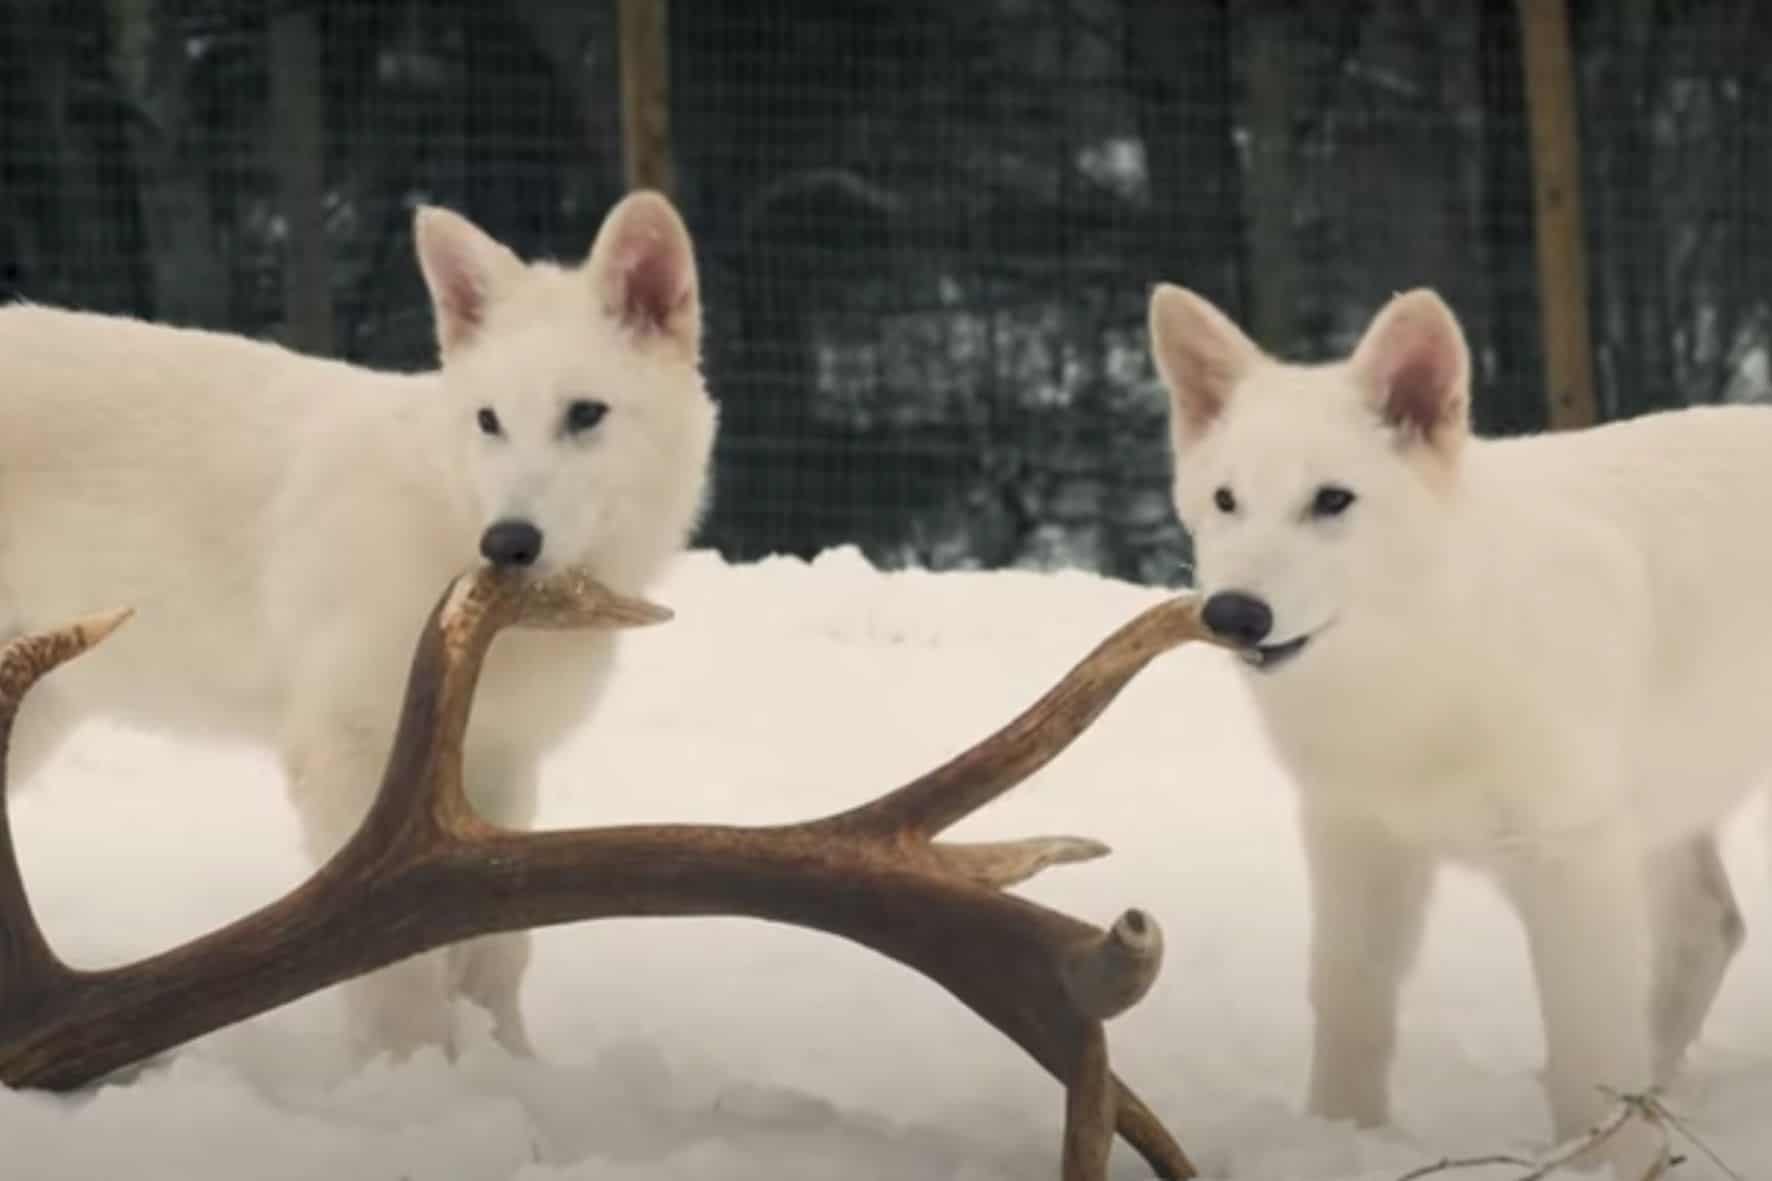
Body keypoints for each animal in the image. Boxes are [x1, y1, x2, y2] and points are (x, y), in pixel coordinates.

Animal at [0, 190, 718, 1062]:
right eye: (488, 420)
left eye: (586, 414)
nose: (508, 541)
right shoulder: (349, 756)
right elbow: (396, 972)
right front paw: (412, 1079)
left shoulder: (500, 766)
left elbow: (496, 953)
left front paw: (510, 1067)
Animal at [1148, 282, 1772, 1171]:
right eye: (1226, 501)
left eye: (1332, 499)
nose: (1234, 614)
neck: (1423, 674)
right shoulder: (1355, 837)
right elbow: (1349, 1001)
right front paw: (1342, 1136)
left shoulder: (1571, 860)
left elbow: (1586, 1043)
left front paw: (1597, 1164)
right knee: (1708, 929)